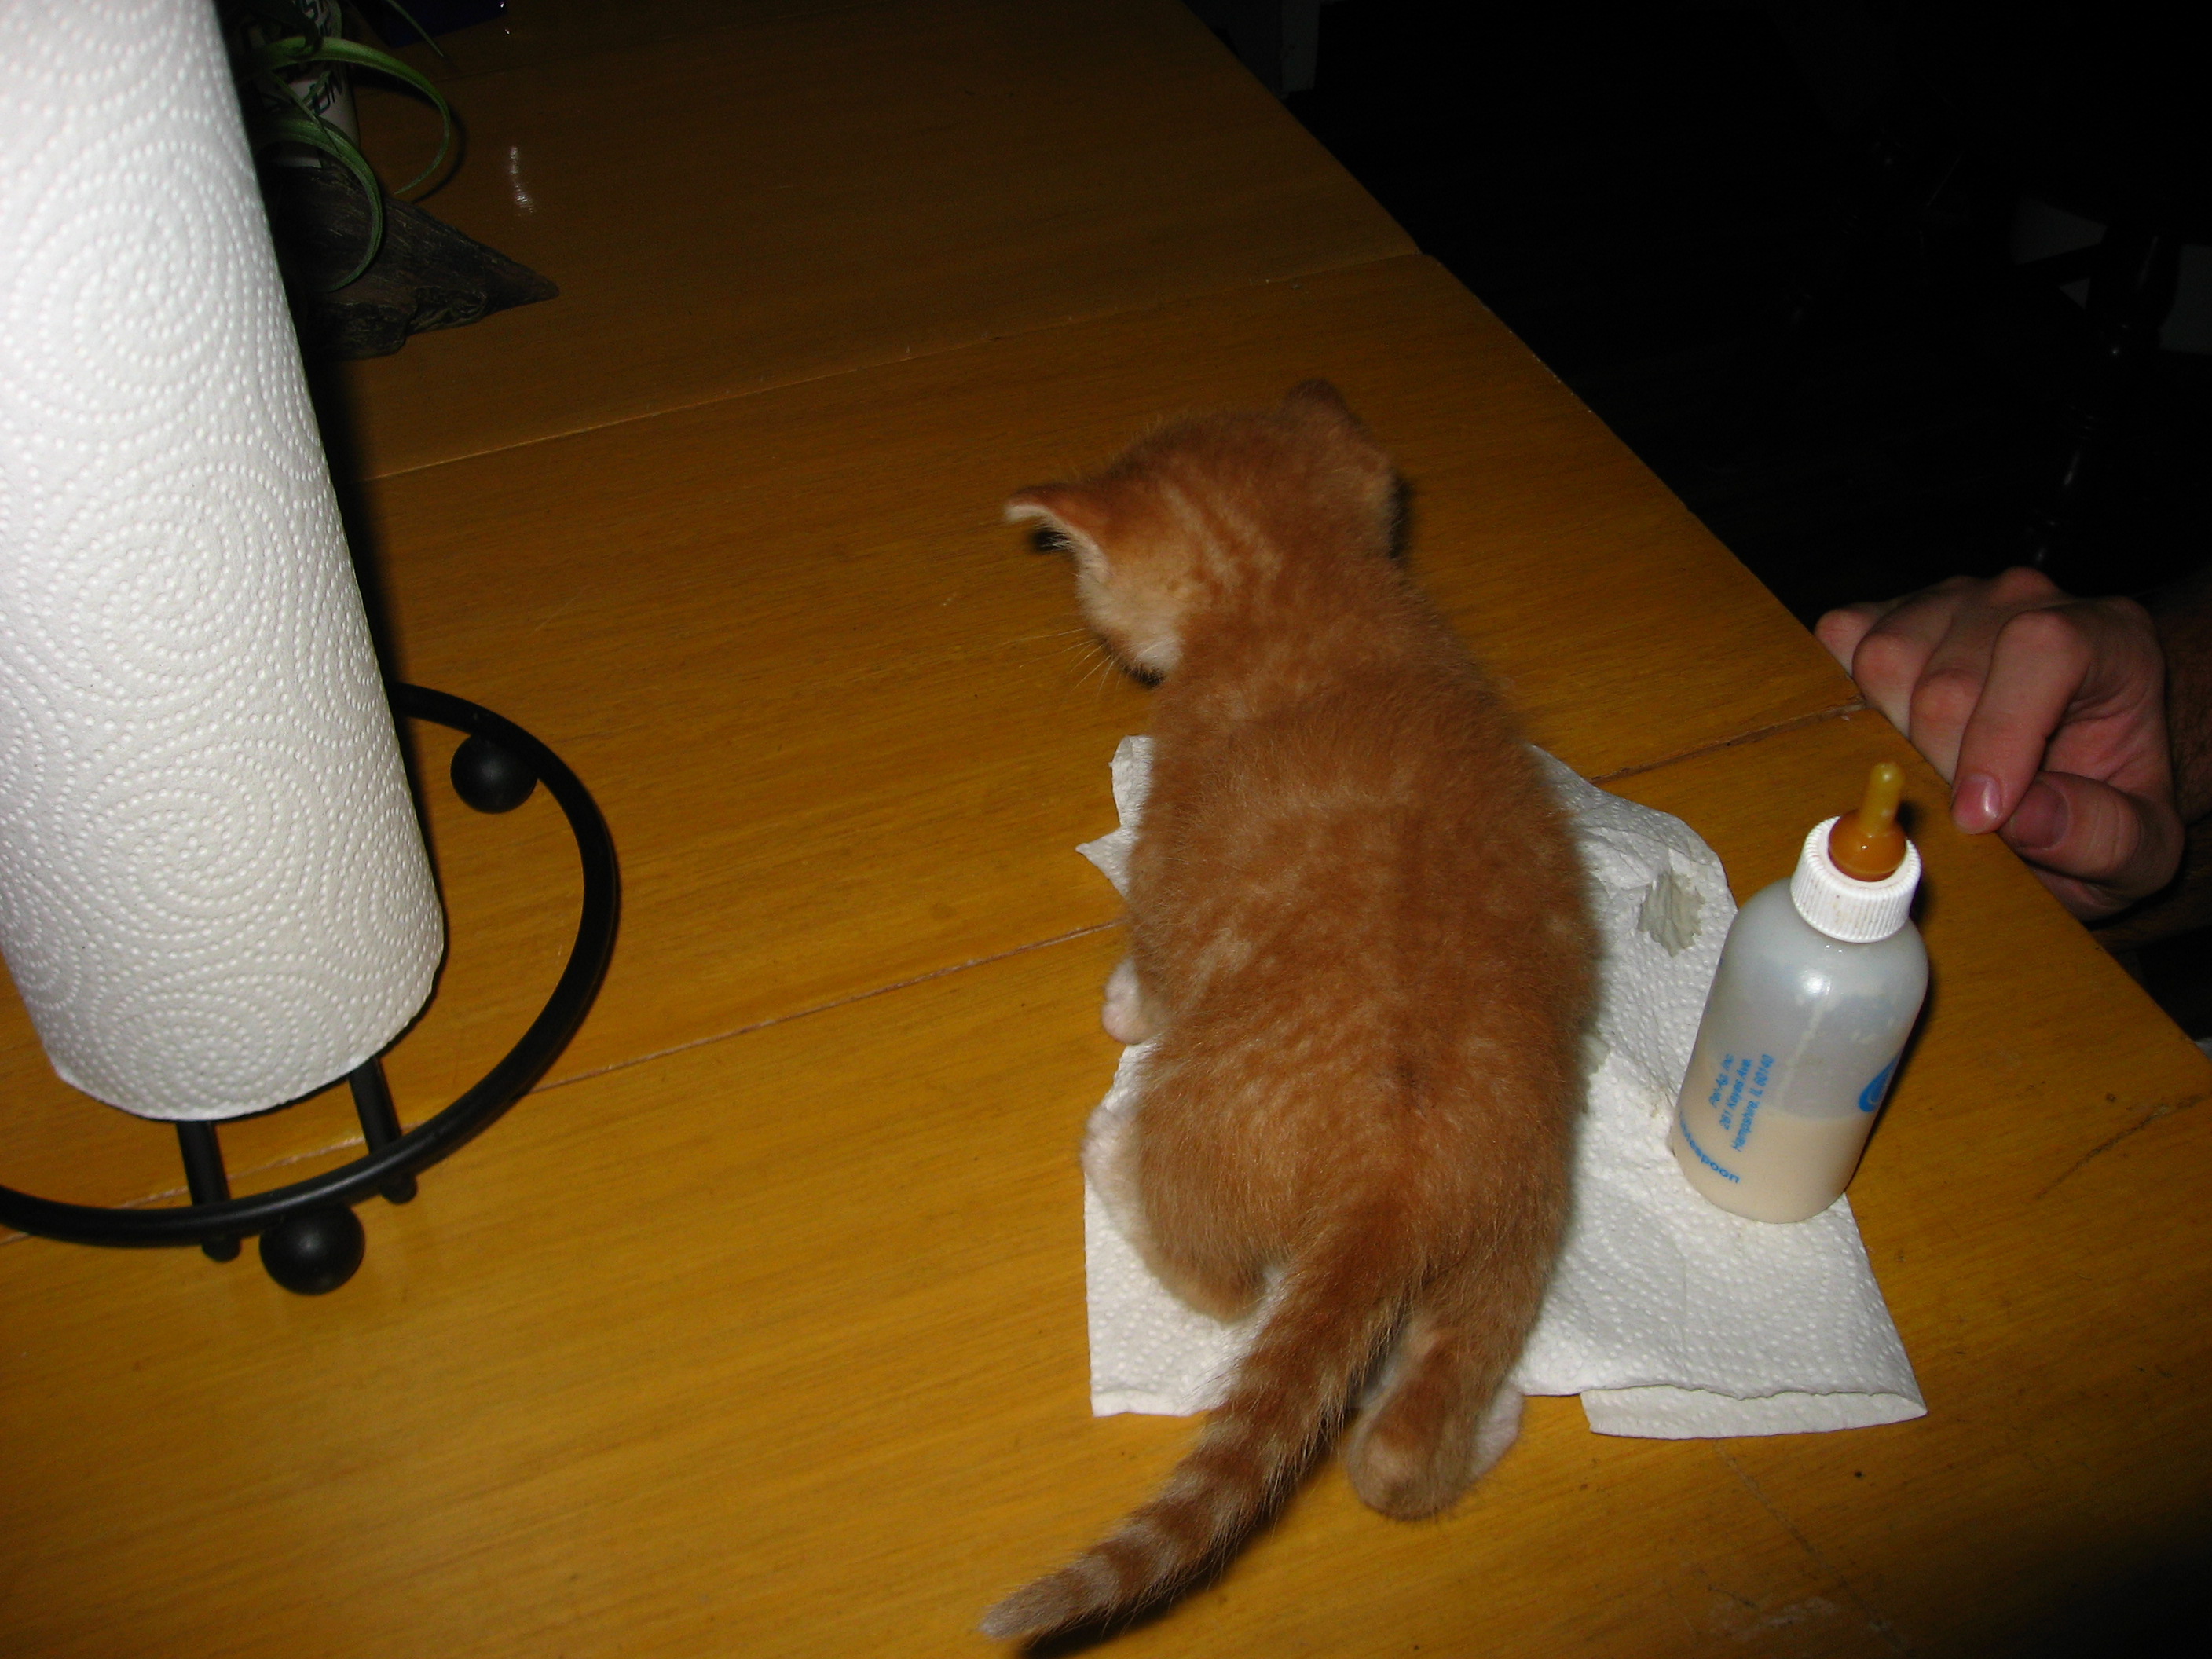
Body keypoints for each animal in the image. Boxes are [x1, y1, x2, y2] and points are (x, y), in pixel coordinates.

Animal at [981, 382, 1595, 1641]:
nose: (1100, 639)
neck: (1313, 598)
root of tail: (1392, 1185)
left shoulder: (1169, 838)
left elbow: (1151, 952)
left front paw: (1125, 1002)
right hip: (1517, 1234)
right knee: (1402, 1452)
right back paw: (1490, 1420)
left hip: (1204, 1132)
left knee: (1226, 1291)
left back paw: (1112, 1157)